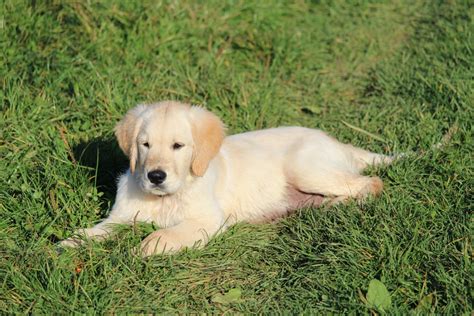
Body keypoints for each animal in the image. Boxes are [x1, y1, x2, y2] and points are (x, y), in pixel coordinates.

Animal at [60, 101, 392, 256]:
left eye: (178, 146)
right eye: (145, 145)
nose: (155, 176)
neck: (167, 197)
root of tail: (338, 143)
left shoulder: (207, 220)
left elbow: (161, 235)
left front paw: (137, 251)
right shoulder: (121, 216)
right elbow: (92, 231)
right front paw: (63, 246)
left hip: (306, 168)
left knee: (373, 184)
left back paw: (335, 206)